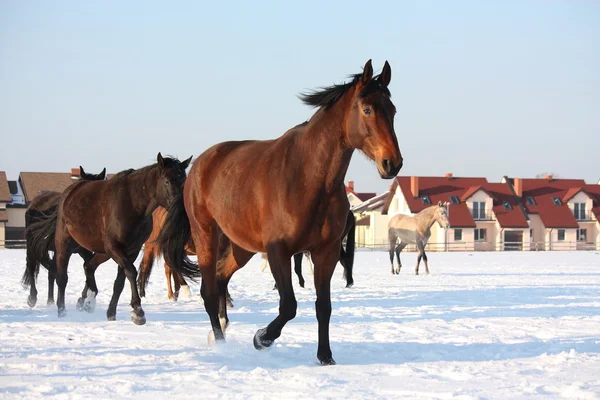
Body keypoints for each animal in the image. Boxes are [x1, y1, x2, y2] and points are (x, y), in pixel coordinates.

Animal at [20, 166, 108, 310]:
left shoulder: (84, 251)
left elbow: (88, 266)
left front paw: (82, 299)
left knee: (50, 270)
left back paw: (50, 301)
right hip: (33, 245)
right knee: (32, 265)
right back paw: (32, 297)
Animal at [159, 60, 404, 366]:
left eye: (392, 110)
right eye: (368, 109)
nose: (392, 163)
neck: (309, 178)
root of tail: (199, 166)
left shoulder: (326, 251)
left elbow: (323, 306)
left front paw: (325, 357)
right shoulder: (279, 251)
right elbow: (288, 305)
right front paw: (261, 338)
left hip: (241, 247)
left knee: (220, 276)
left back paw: (222, 330)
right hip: (206, 236)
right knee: (209, 290)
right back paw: (220, 343)